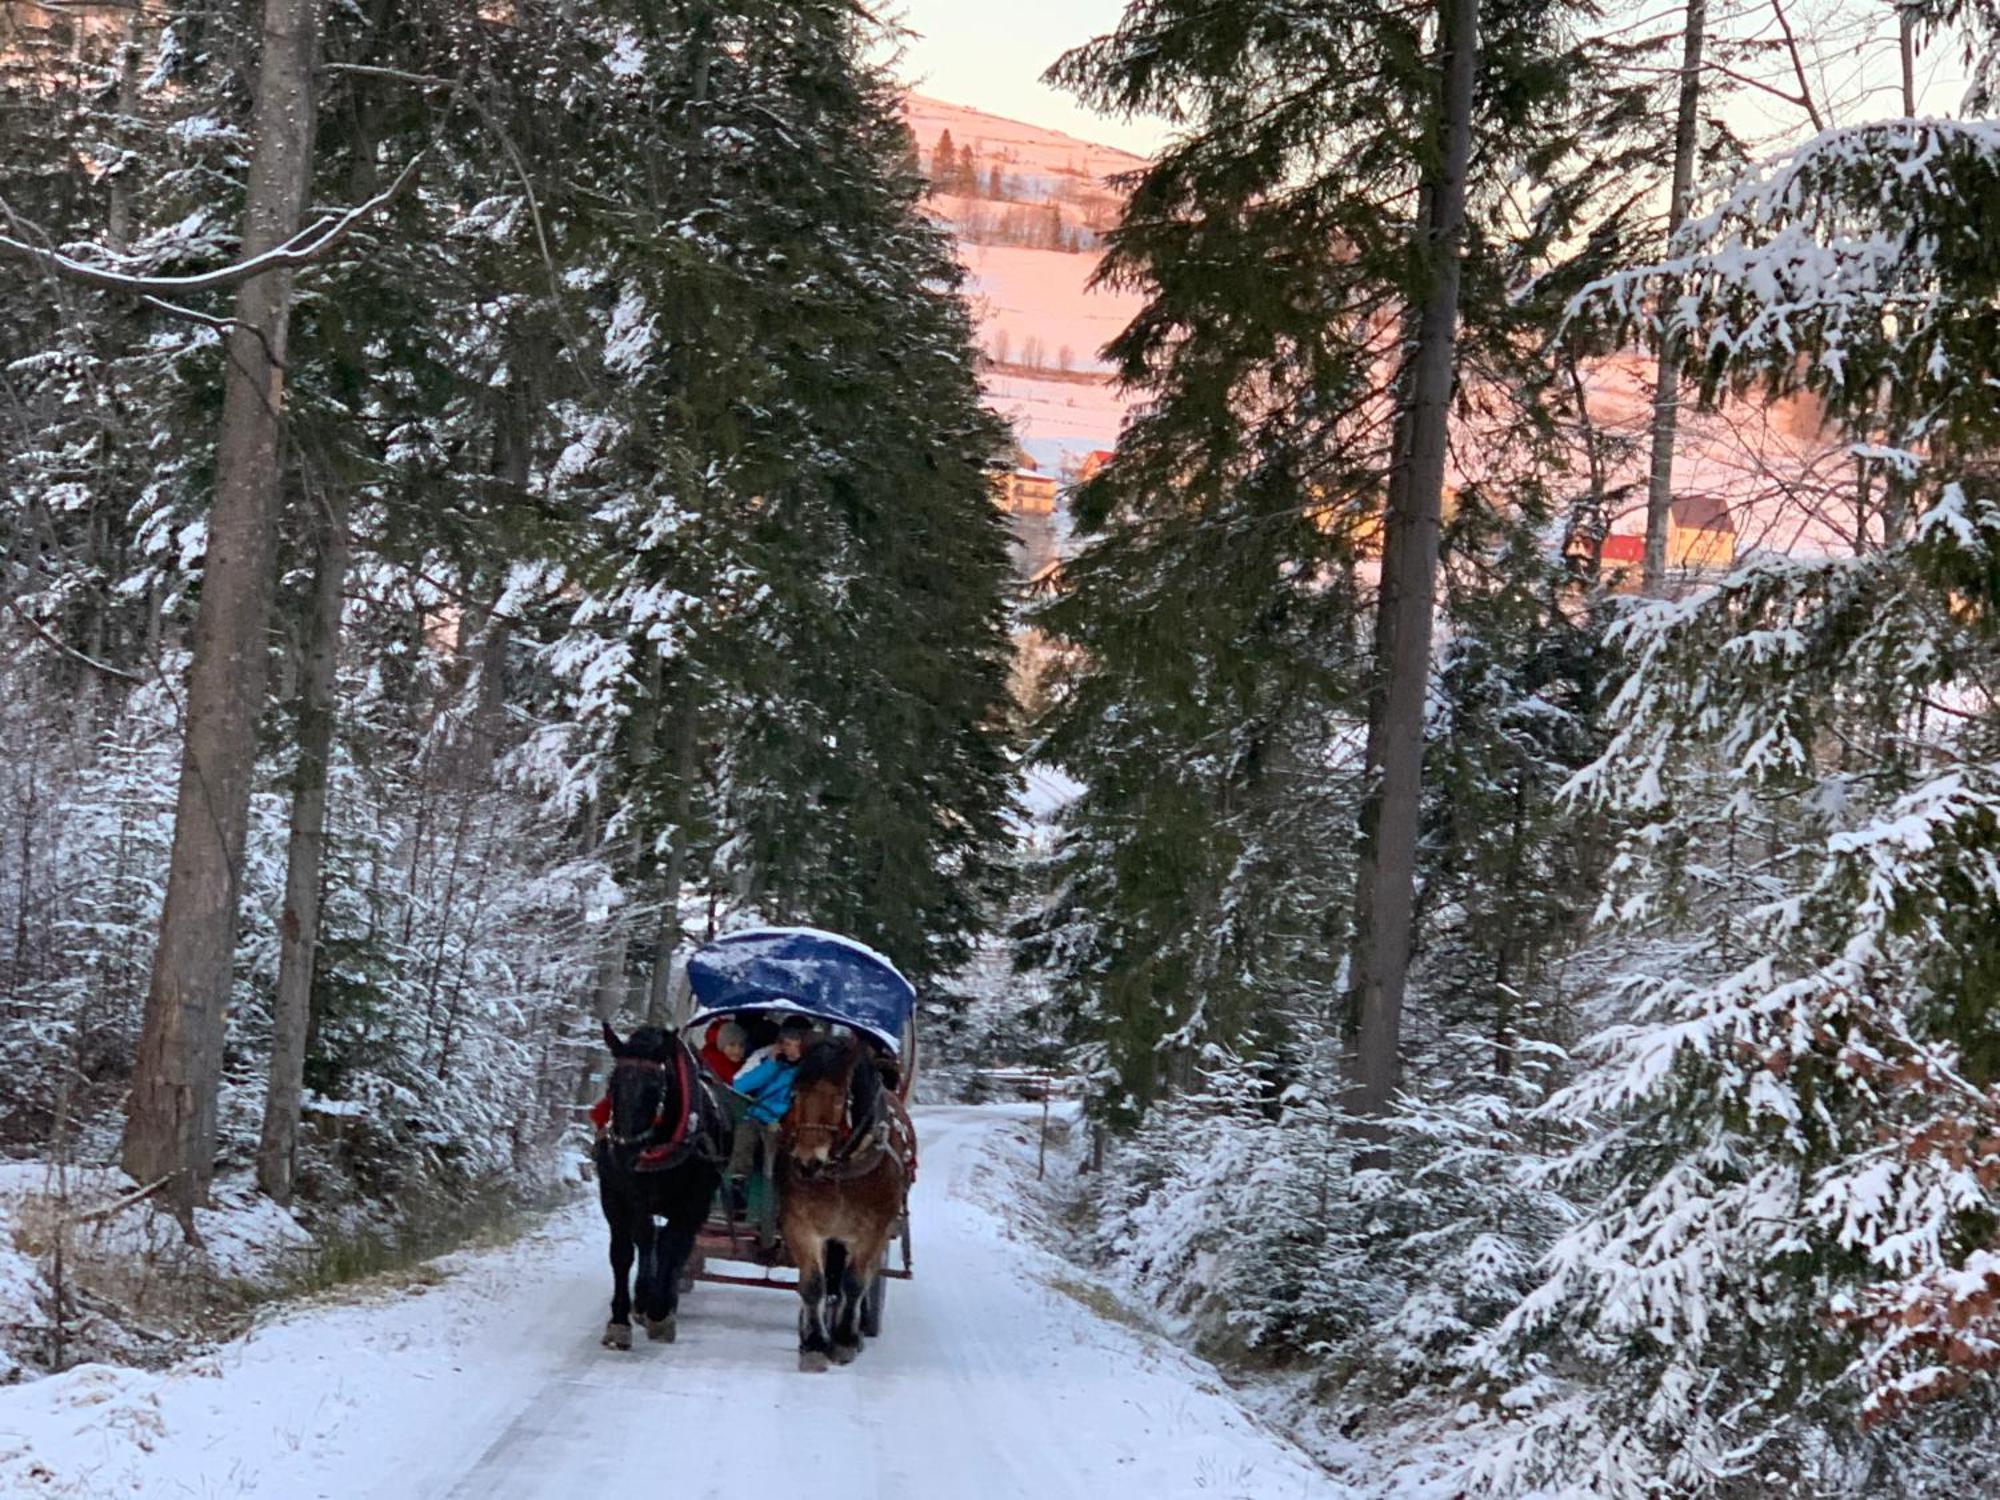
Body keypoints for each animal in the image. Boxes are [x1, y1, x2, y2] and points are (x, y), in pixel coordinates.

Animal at [596, 1024, 732, 1352]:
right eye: (613, 1082)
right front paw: (621, 1320)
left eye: (656, 1087)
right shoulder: (616, 1196)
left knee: (678, 1247)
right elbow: (624, 1251)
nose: (624, 1152)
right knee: (648, 1239)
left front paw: (659, 1311)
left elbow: (672, 1247)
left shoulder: (692, 1203)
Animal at [780, 1032, 916, 1376]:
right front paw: (814, 1344)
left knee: (860, 1279)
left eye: (841, 1098)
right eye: (795, 1092)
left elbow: (854, 1283)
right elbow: (813, 1284)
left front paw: (843, 1340)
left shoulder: (873, 1230)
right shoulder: (800, 1224)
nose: (807, 1163)